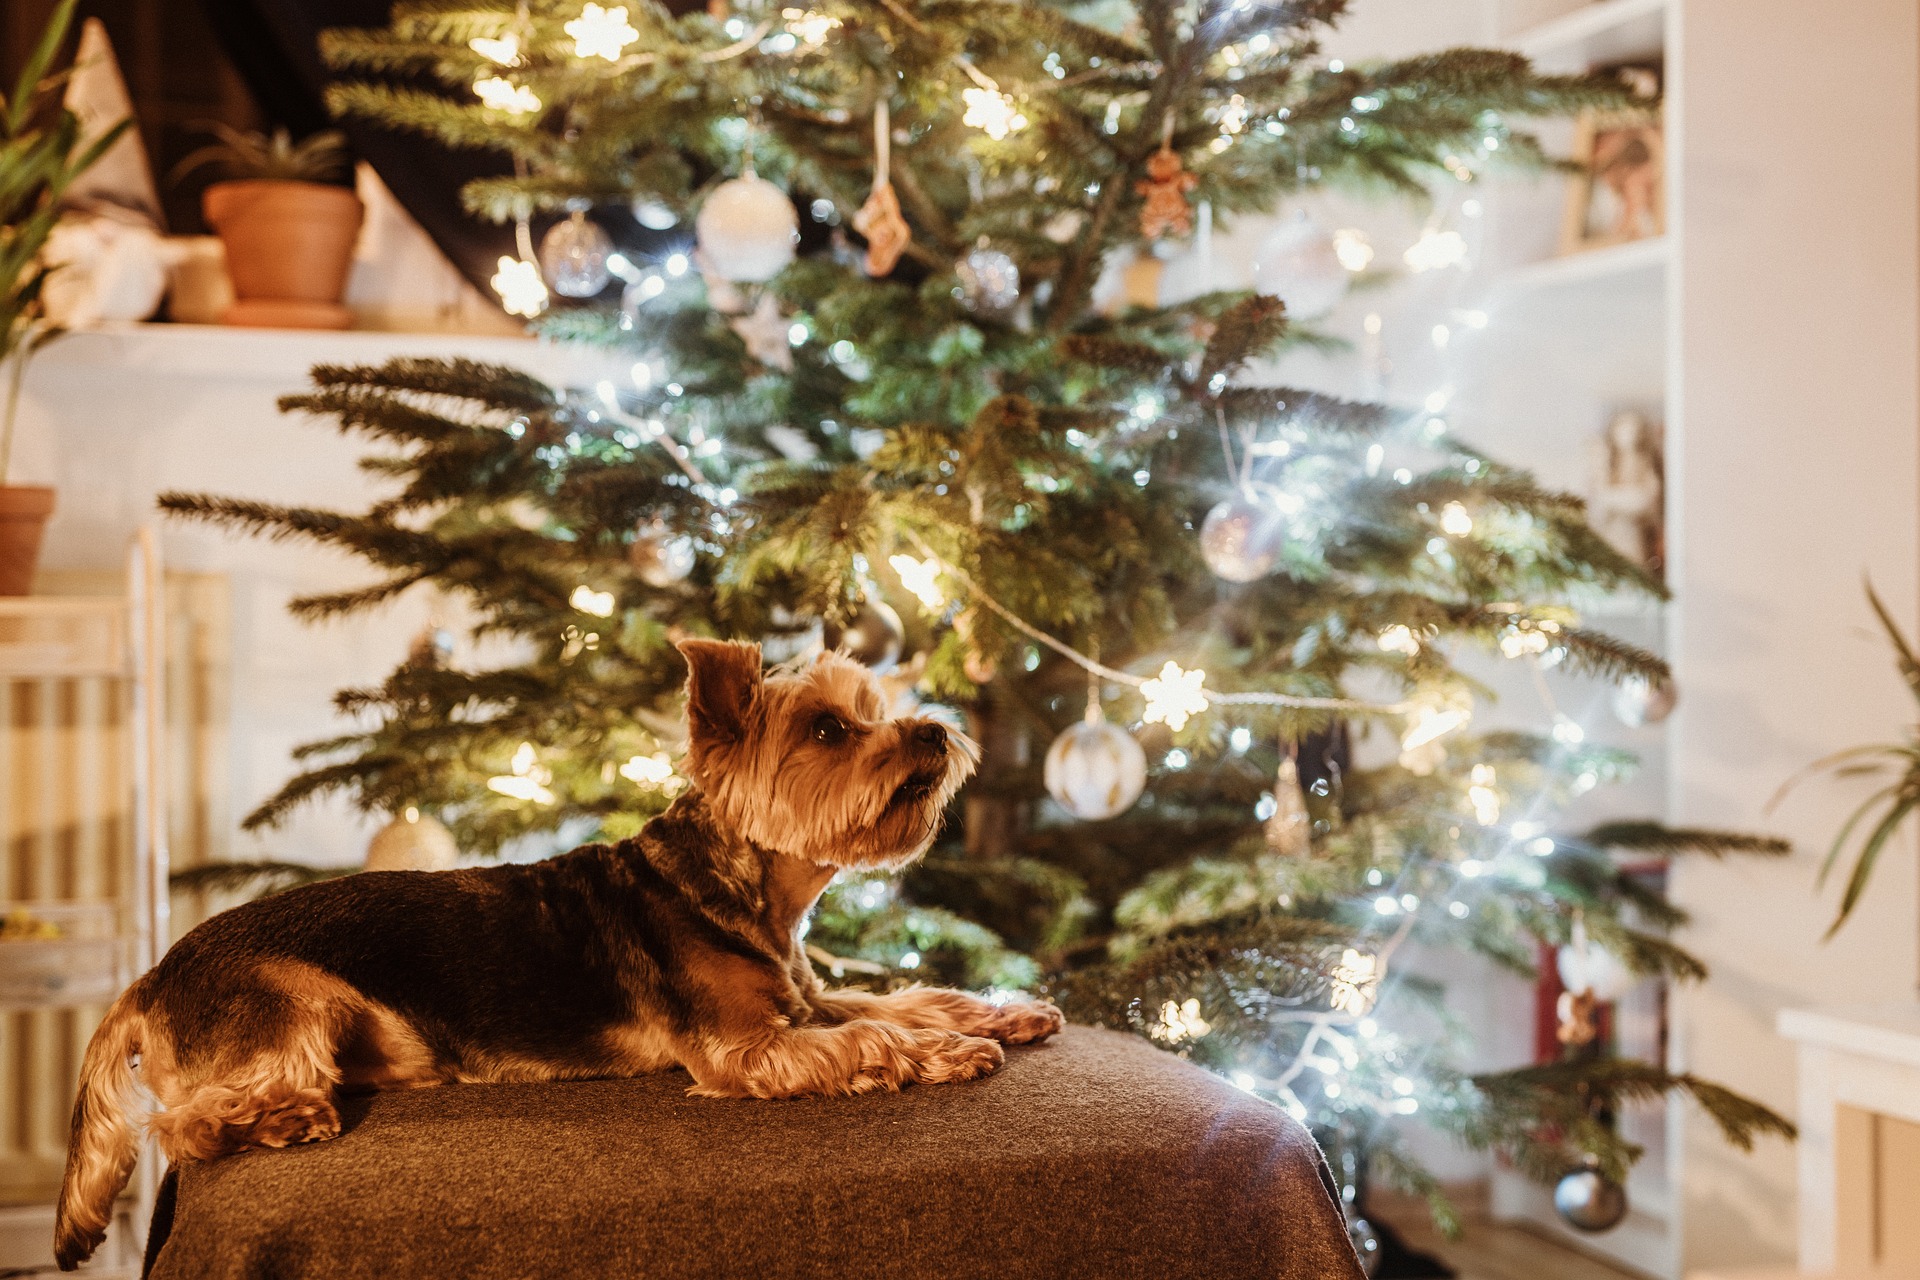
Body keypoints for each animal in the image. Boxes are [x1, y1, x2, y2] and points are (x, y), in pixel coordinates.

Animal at [56, 640, 1067, 1274]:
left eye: (877, 712)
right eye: (829, 730)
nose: (936, 730)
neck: (748, 888)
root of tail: (150, 978)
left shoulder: (804, 1000)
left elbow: (906, 998)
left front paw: (1006, 1012)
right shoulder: (745, 1048)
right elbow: (872, 1041)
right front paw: (949, 1053)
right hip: (296, 1000)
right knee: (182, 1126)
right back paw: (283, 1119)